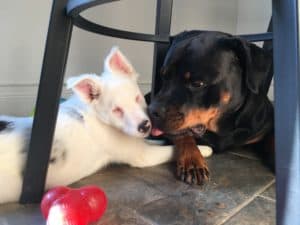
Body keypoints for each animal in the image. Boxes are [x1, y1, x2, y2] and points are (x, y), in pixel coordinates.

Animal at [0, 47, 212, 204]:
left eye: (137, 97)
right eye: (116, 110)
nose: (145, 126)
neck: (98, 117)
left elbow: (152, 142)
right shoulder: (141, 156)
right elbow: (168, 150)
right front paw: (203, 150)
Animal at [148, 30, 274, 185]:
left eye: (197, 83)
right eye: (164, 77)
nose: (151, 111)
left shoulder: (265, 124)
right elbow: (183, 135)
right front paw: (192, 160)